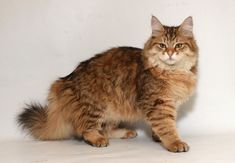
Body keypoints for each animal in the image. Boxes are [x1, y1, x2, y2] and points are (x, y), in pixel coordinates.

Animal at [17, 15, 198, 153]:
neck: (173, 73)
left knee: (105, 129)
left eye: (179, 45)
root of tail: (65, 81)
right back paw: (98, 139)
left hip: (114, 110)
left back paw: (124, 133)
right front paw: (174, 143)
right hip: (95, 106)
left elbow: (159, 127)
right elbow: (167, 127)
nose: (170, 53)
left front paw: (157, 138)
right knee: (85, 129)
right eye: (162, 45)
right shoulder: (158, 104)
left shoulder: (166, 105)